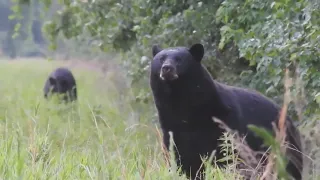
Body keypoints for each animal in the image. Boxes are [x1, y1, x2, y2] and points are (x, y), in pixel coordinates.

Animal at [150, 43, 302, 179]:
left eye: (179, 59)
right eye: (161, 58)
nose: (167, 68)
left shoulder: (224, 122)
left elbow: (227, 154)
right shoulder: (172, 126)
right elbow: (179, 155)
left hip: (282, 143)